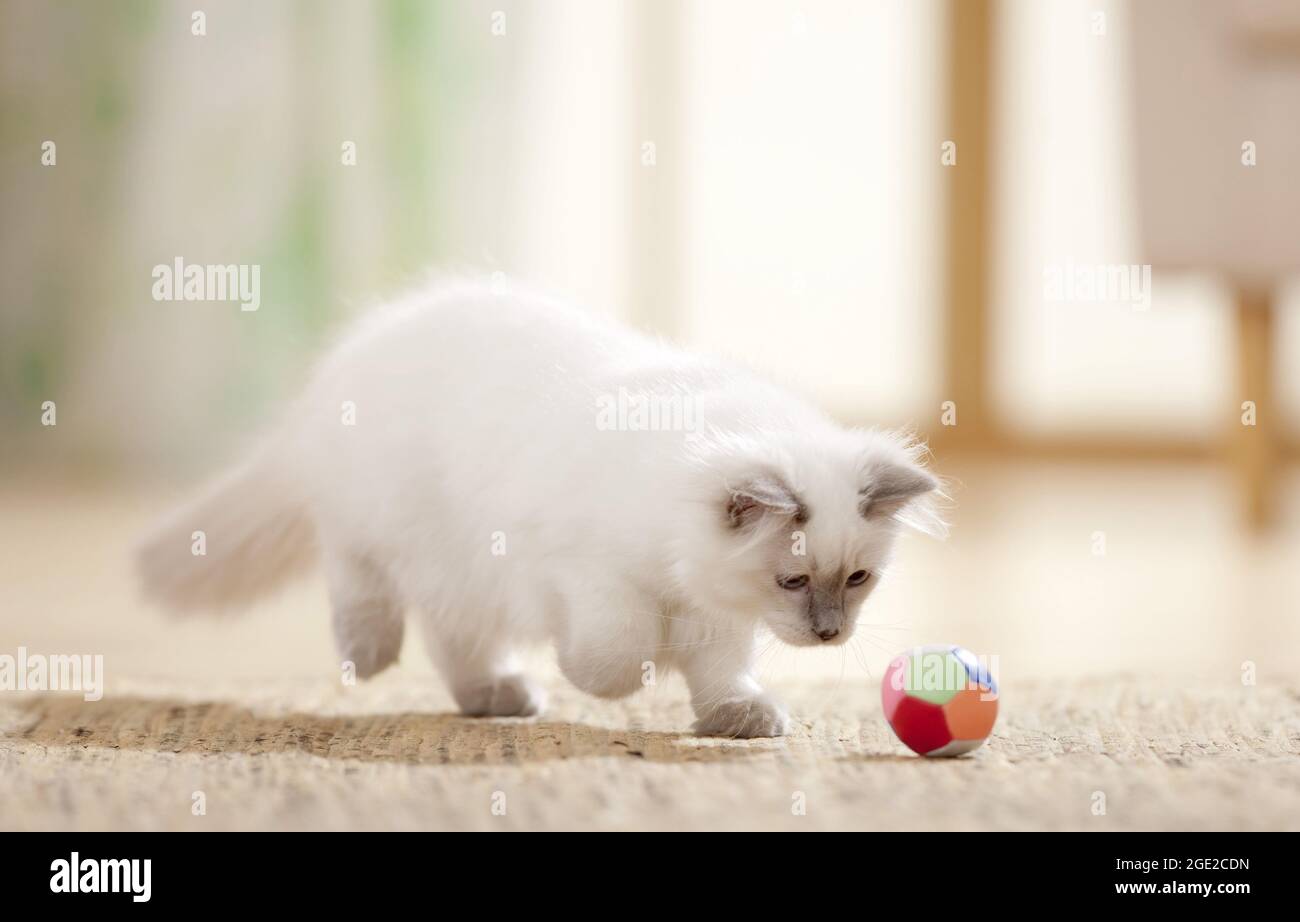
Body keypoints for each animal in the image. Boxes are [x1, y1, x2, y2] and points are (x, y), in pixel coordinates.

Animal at [137, 276, 941, 738]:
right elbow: (615, 657)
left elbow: (721, 674)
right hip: (393, 525)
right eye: (795, 581)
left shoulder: (717, 616)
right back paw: (369, 653)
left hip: (457, 570)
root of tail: (356, 351)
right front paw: (606, 674)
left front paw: (734, 719)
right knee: (359, 573)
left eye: (858, 580)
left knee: (451, 639)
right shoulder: (588, 577)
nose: (831, 633)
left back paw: (494, 697)